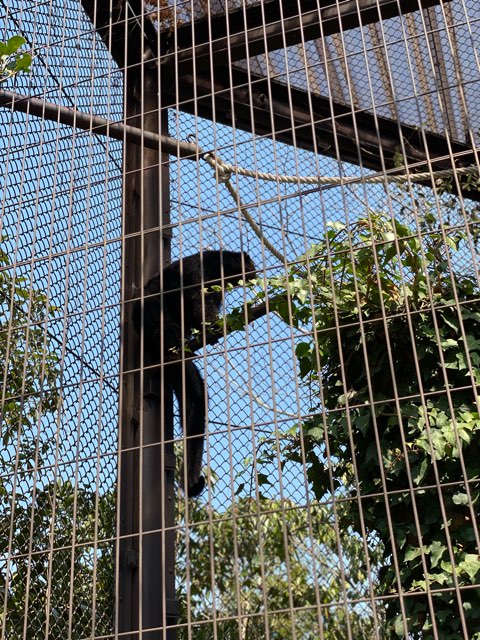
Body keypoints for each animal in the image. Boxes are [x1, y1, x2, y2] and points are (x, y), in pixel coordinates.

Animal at [132, 249, 255, 496]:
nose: (255, 271)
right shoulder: (204, 270)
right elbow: (199, 300)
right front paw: (214, 327)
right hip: (152, 313)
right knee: (166, 327)